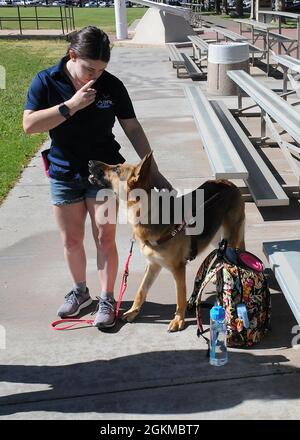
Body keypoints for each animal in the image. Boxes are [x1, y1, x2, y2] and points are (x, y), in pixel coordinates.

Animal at [88, 153, 244, 332]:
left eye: (116, 169)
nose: (89, 162)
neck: (145, 213)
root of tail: (228, 183)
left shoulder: (178, 269)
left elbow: (180, 296)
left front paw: (179, 320)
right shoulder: (153, 265)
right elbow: (141, 290)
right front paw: (133, 311)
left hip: (231, 240)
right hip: (215, 237)